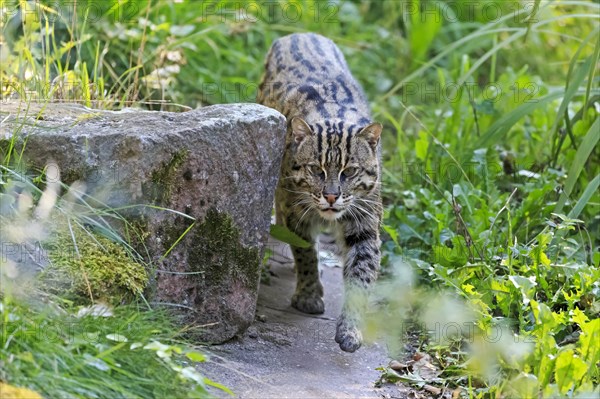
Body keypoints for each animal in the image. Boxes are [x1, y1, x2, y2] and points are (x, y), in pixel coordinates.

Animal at [255, 33, 382, 354]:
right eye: (316, 169)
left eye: (349, 171)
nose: (331, 196)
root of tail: (299, 33)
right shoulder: (295, 211)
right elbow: (305, 253)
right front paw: (309, 294)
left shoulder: (364, 222)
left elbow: (362, 274)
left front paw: (351, 329)